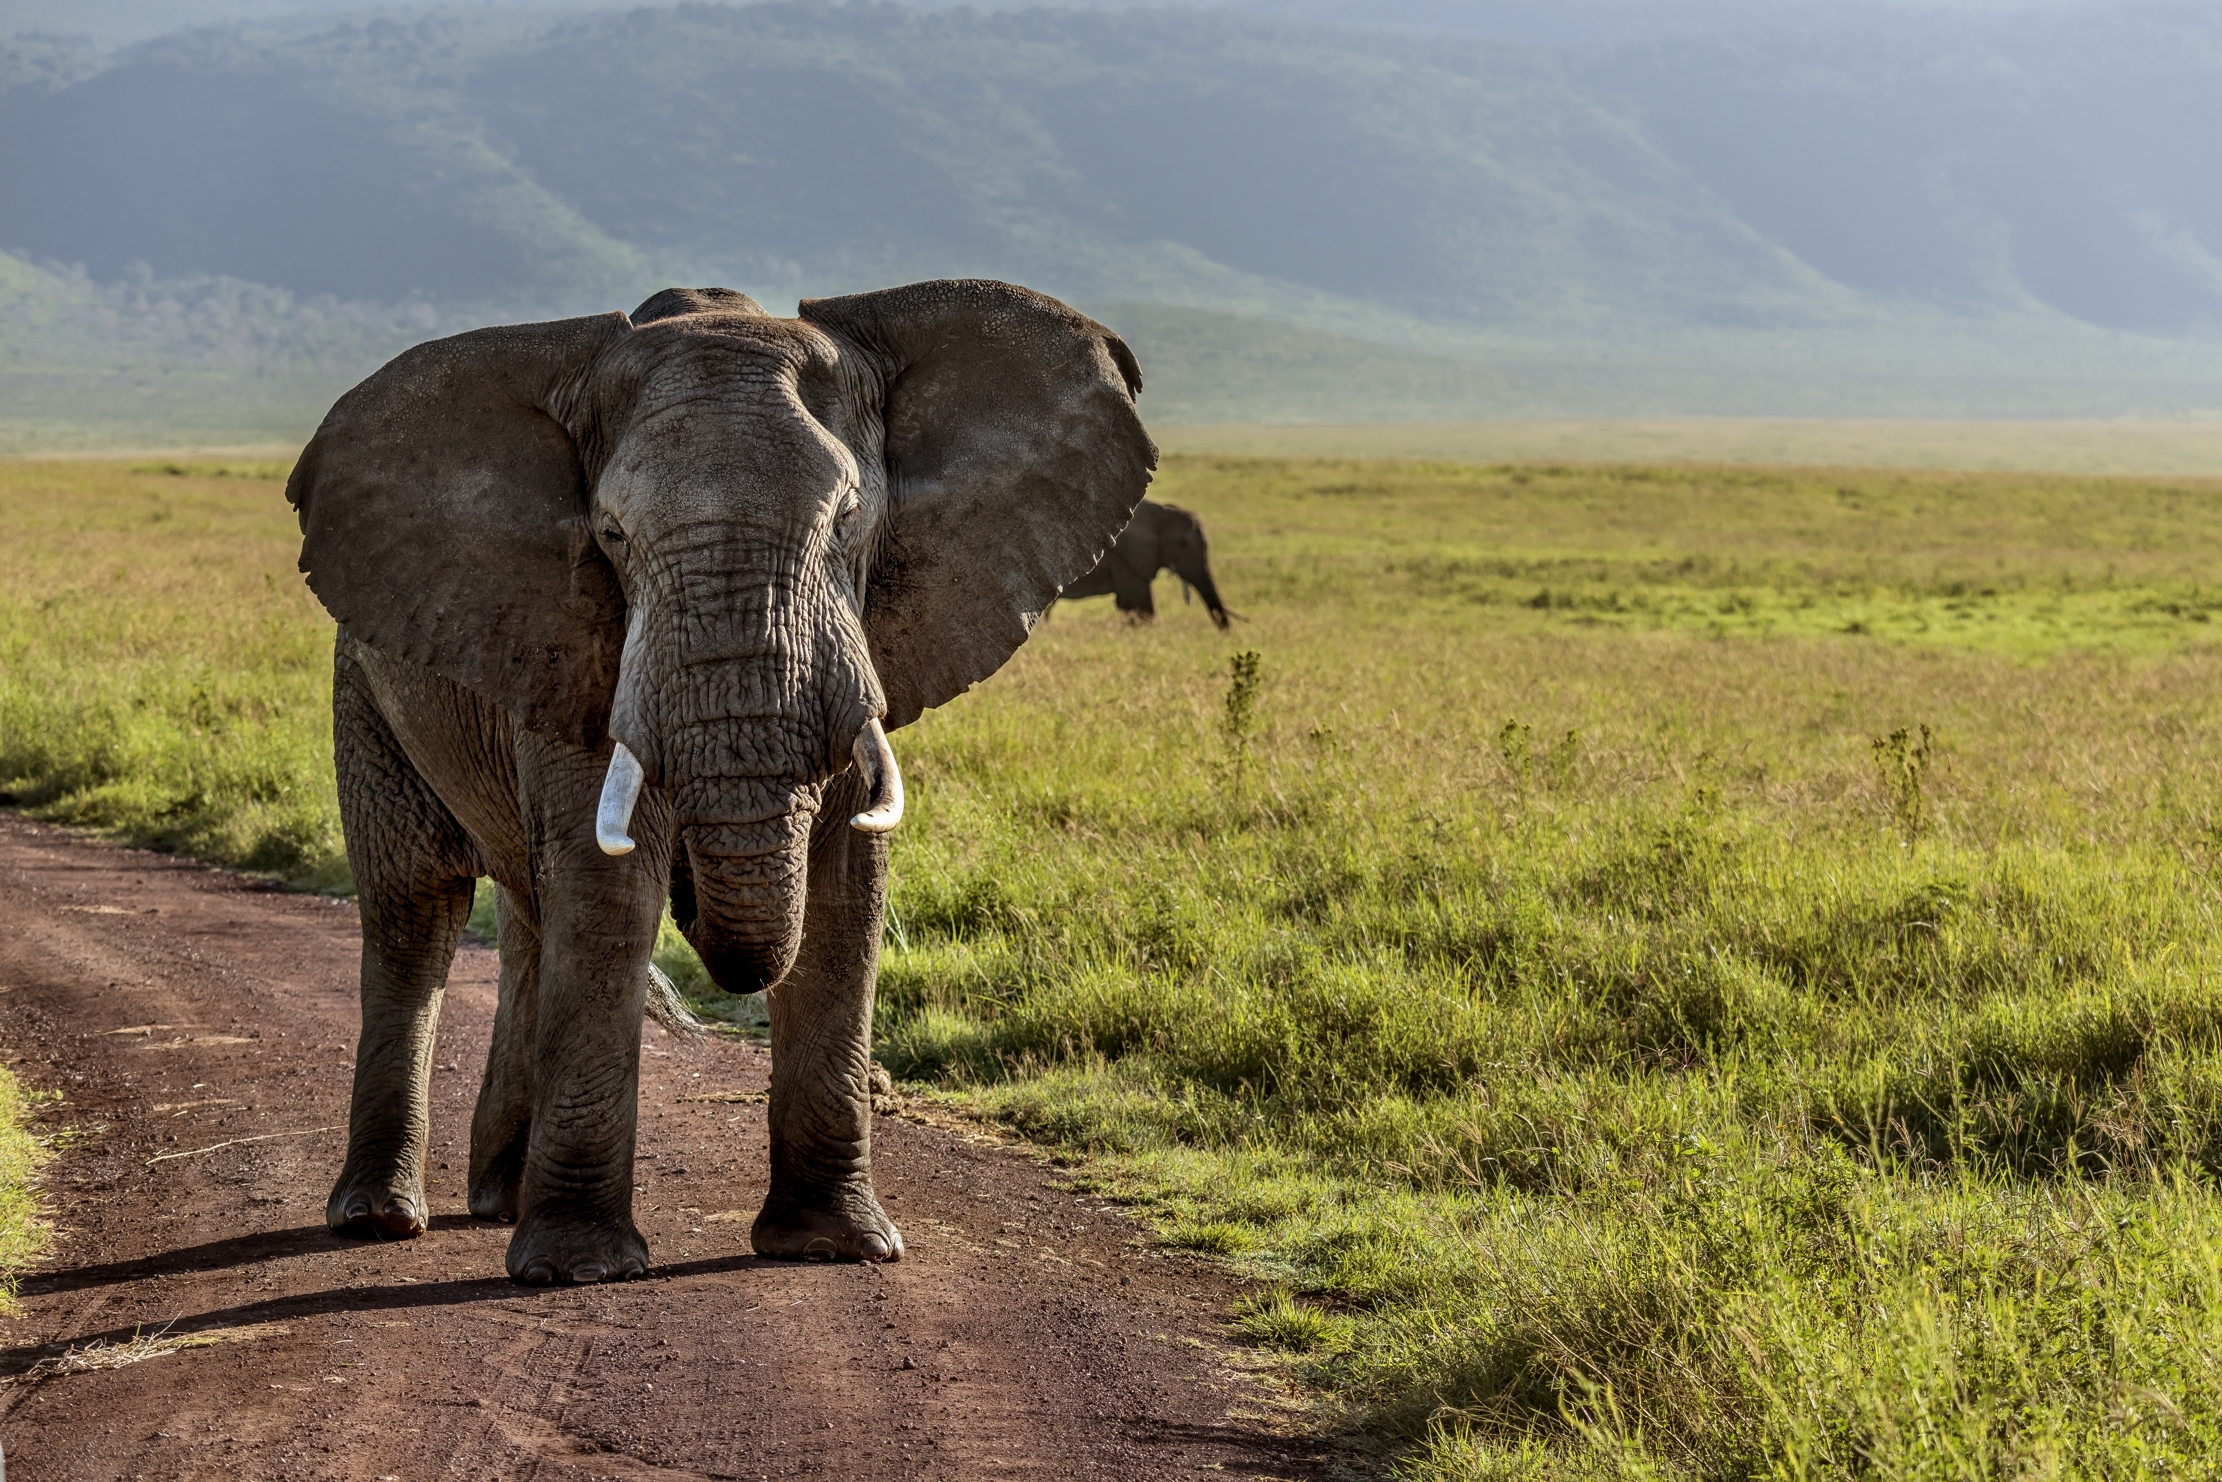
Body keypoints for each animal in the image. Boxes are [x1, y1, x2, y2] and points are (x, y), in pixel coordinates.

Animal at [284, 279, 1155, 1283]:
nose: (697, 897)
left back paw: (498, 1199)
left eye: (849, 520)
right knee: (414, 909)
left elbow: (844, 888)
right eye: (611, 535)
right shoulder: (579, 639)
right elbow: (608, 890)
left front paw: (837, 1247)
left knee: (529, 922)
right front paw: (580, 1269)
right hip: (362, 680)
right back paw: (381, 1219)